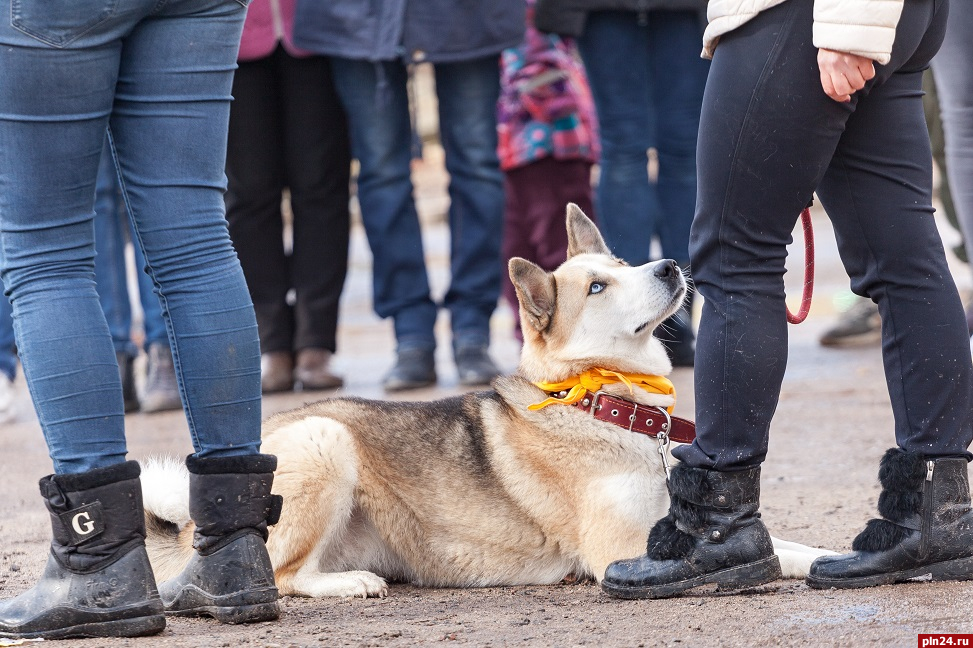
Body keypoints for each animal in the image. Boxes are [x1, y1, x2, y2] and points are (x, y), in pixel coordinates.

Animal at [140, 206, 832, 596]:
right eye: (598, 287)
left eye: (621, 262)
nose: (667, 266)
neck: (599, 403)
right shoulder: (620, 549)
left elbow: (786, 546)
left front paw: (830, 555)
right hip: (324, 440)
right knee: (282, 576)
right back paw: (351, 584)